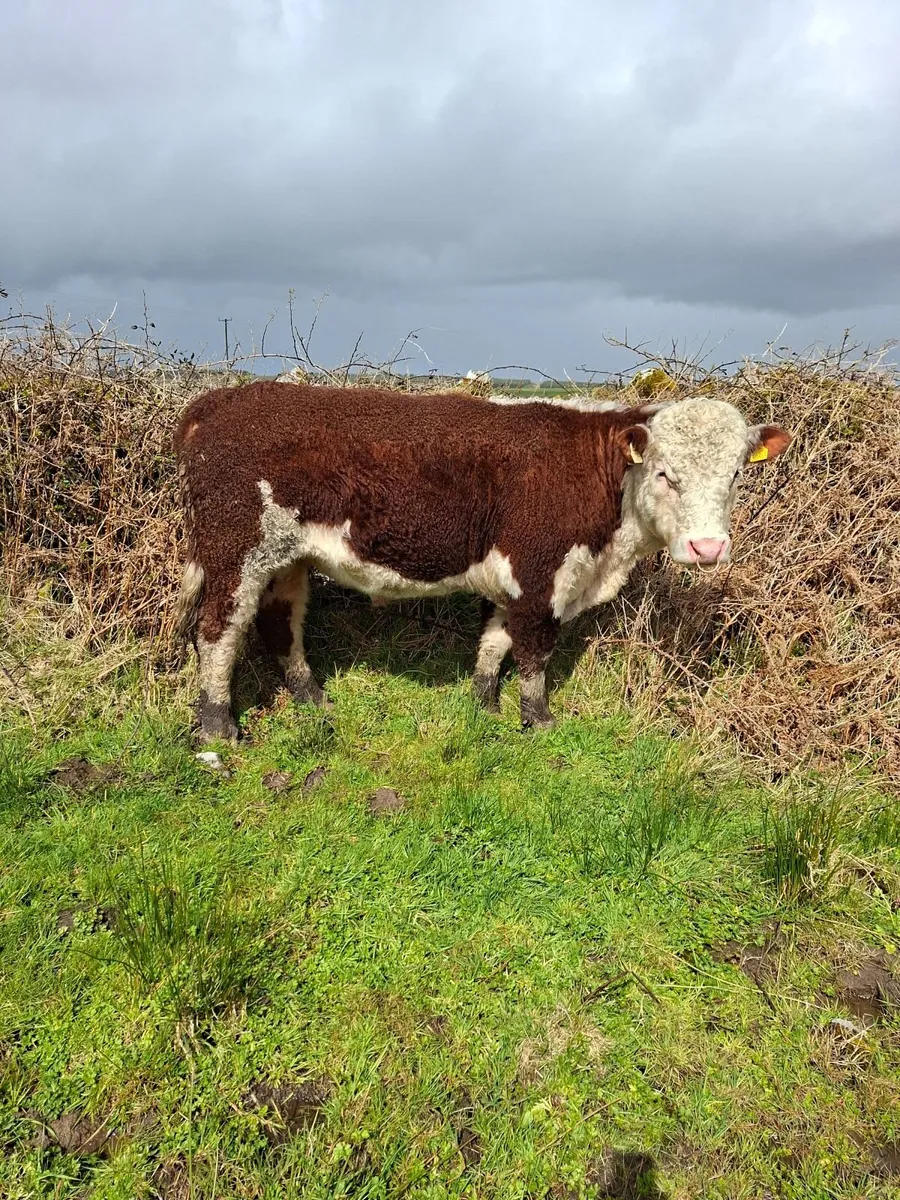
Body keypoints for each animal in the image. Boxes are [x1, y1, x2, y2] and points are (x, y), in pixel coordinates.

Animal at [173, 381, 791, 743]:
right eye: (665, 474)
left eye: (736, 474)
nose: (708, 548)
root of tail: (219, 400)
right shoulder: (541, 572)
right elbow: (535, 654)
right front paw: (539, 723)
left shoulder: (516, 578)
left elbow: (495, 641)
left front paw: (485, 707)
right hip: (237, 548)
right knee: (218, 631)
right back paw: (217, 731)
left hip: (287, 557)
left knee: (280, 622)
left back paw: (312, 698)